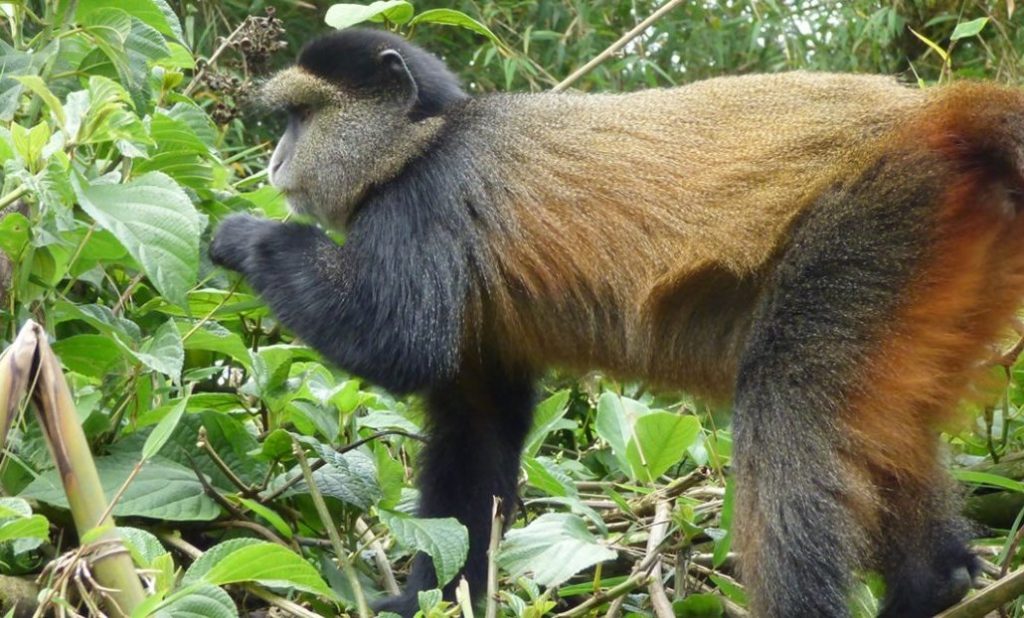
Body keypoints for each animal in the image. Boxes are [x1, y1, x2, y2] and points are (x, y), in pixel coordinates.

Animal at [208, 27, 1024, 618]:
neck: (427, 135)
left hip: (875, 227)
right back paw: (941, 583)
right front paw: (425, 600)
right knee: (889, 424)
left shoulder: (423, 203)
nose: (275, 160)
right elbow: (477, 428)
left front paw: (245, 237)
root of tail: (933, 119)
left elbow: (398, 342)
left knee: (791, 404)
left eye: (302, 116)